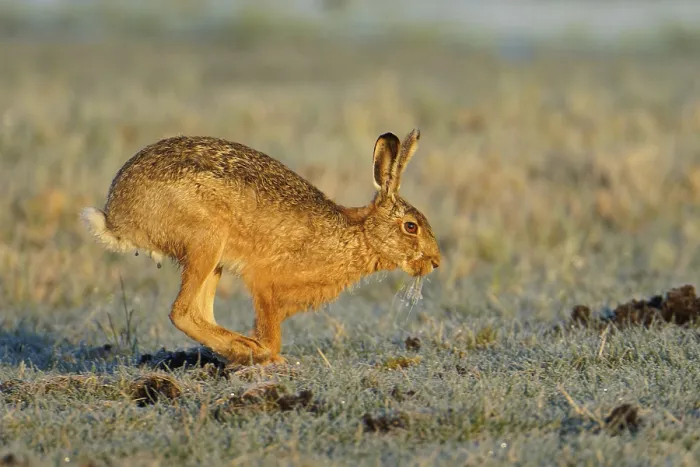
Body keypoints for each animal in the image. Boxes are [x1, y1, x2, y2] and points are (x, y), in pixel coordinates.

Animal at [80, 129, 441, 366]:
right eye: (411, 227)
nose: (435, 262)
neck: (360, 234)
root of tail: (119, 217)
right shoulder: (266, 283)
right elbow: (271, 334)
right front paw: (268, 356)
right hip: (206, 240)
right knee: (181, 312)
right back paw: (243, 348)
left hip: (214, 260)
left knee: (199, 311)